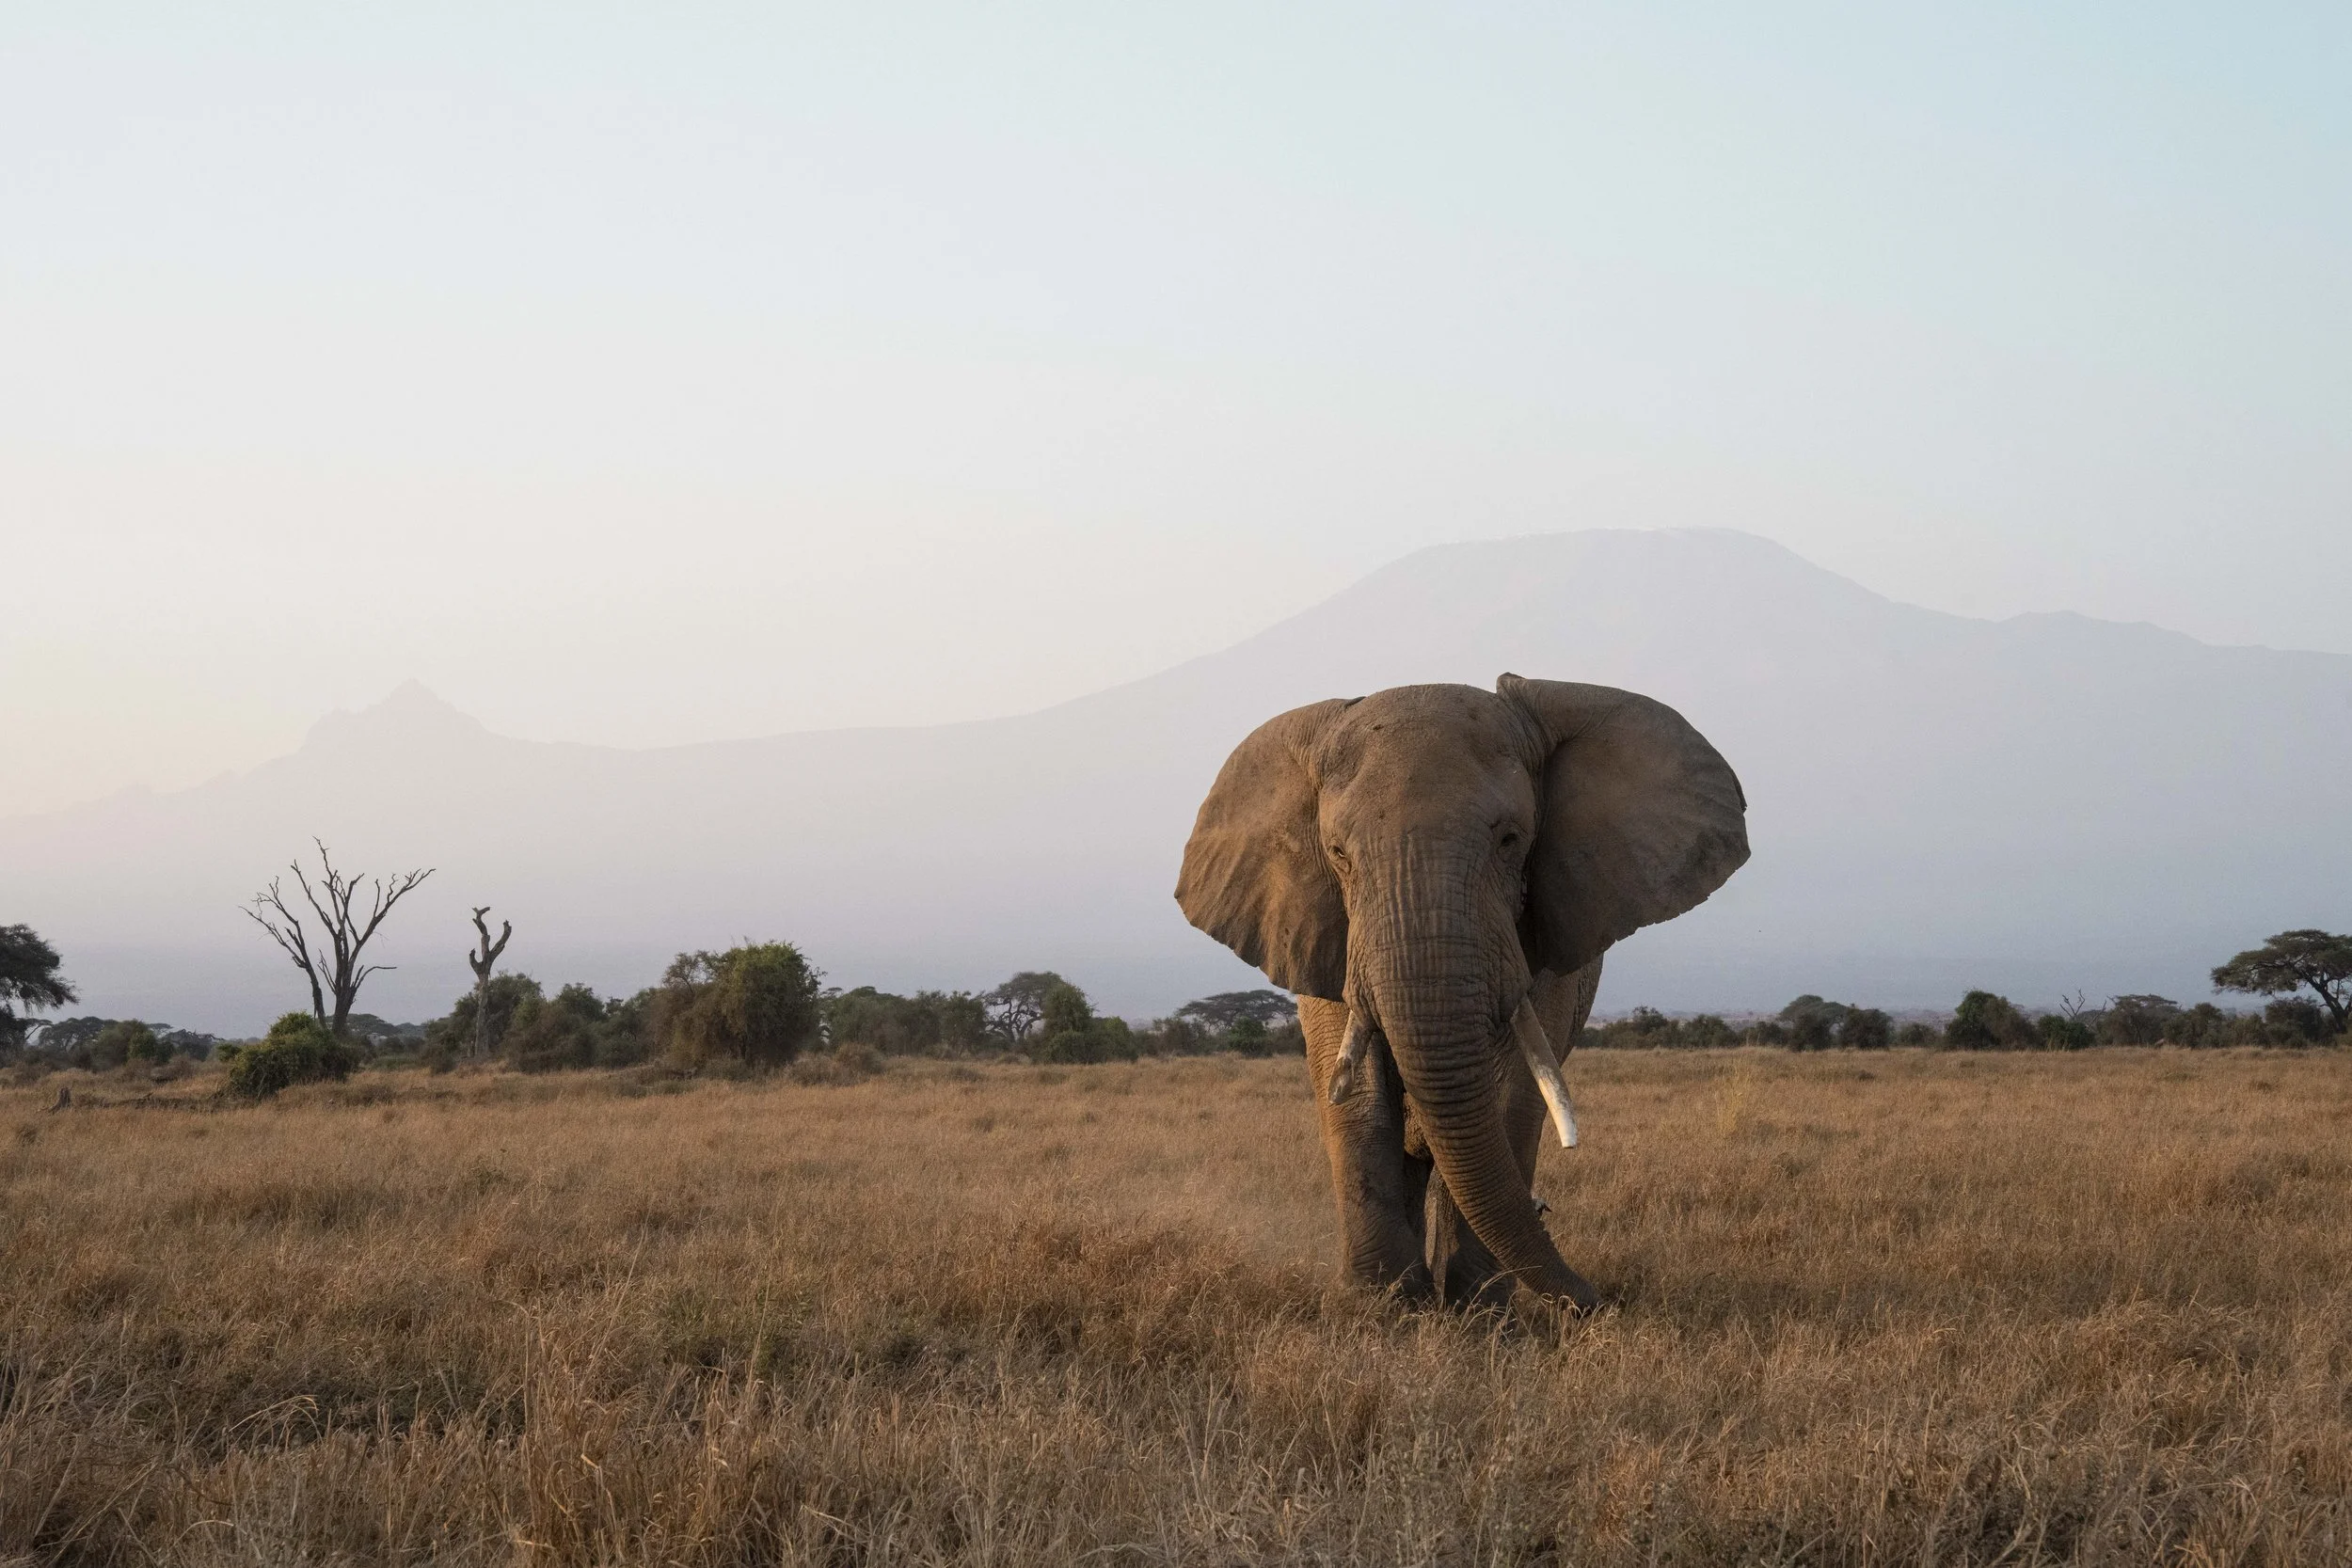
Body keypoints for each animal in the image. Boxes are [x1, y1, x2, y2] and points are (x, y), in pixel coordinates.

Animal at [1175, 674, 1748, 1312]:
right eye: (1338, 854)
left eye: (1511, 840)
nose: (1598, 1303)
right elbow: (1358, 1099)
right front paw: (1380, 1311)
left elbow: (1511, 1098)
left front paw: (1478, 1317)